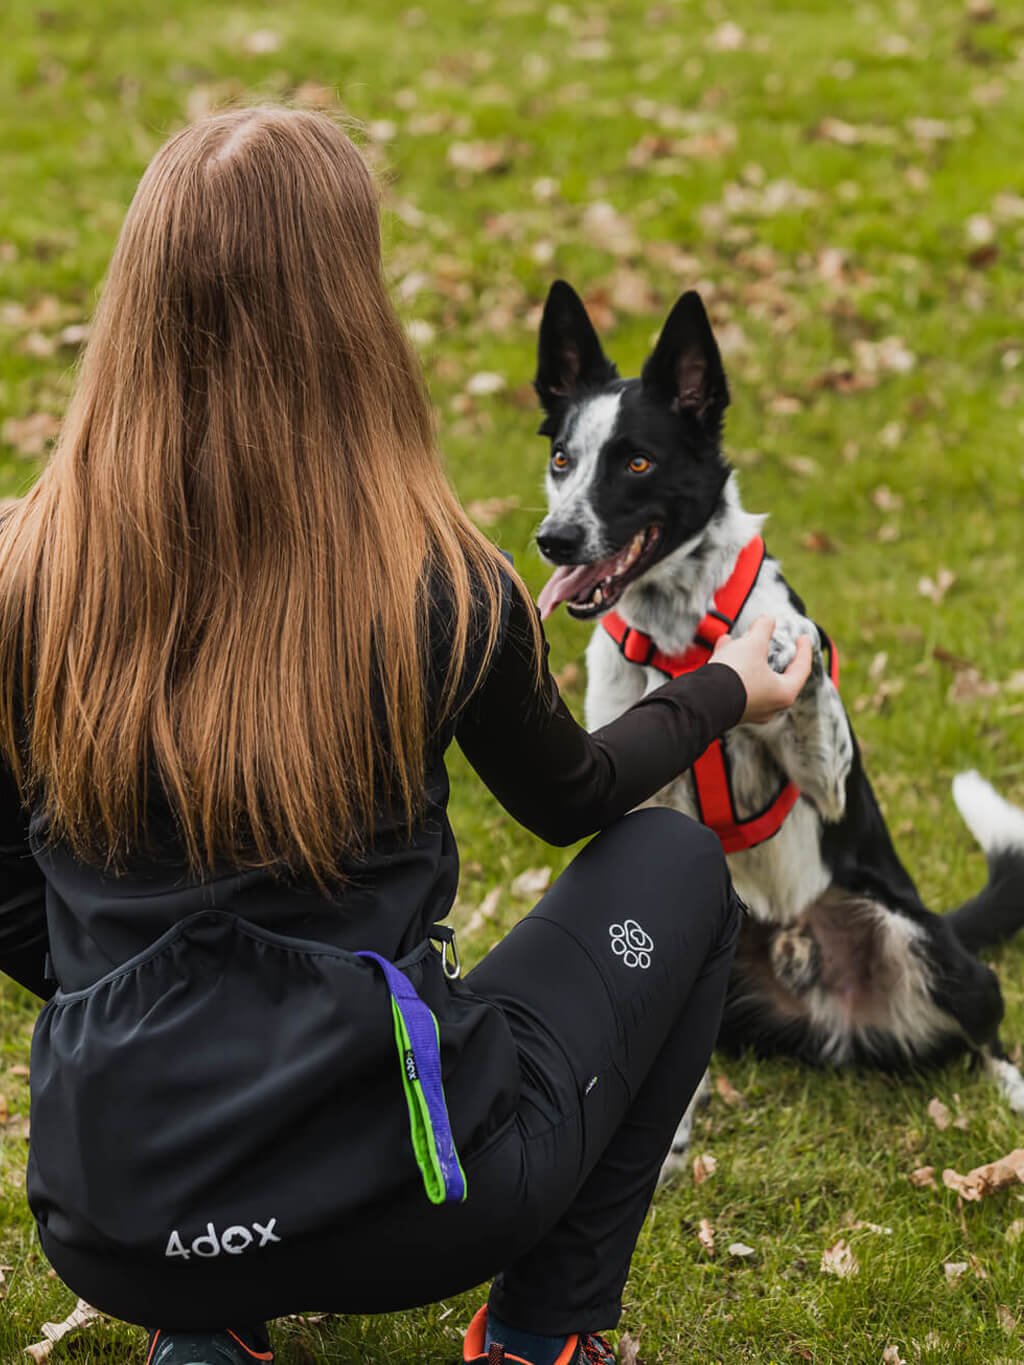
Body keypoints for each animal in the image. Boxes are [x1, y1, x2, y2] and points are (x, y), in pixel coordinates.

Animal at [532, 277, 1024, 1130]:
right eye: (563, 459)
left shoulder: (826, 782)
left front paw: (790, 640)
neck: (679, 634)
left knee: (985, 1030)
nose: (554, 540)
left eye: (637, 461)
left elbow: (807, 670)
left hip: (927, 945)